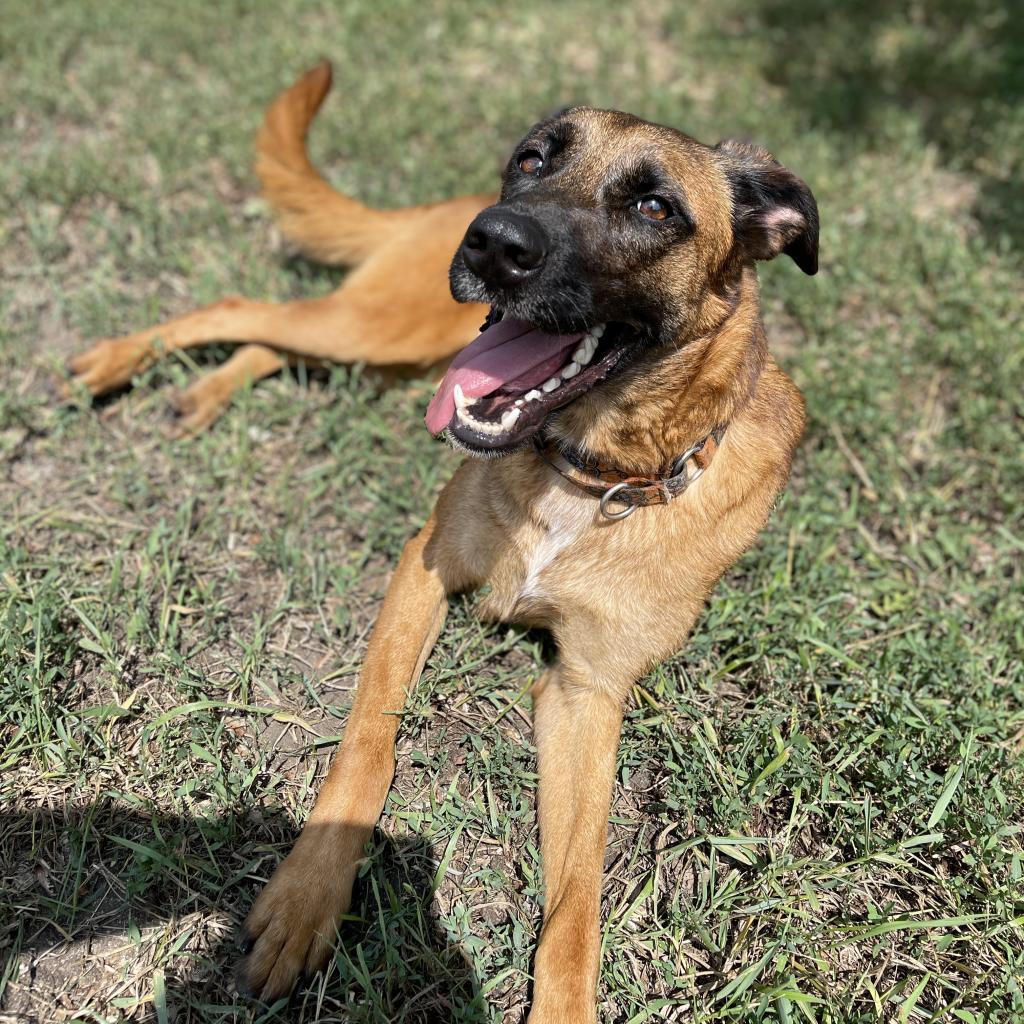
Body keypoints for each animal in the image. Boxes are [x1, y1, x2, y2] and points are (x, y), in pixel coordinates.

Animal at [72, 59, 815, 1019]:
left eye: (656, 208)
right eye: (533, 158)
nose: (495, 243)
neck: (591, 470)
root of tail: (446, 202)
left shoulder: (587, 693)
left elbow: (578, 897)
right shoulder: (421, 570)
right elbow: (368, 741)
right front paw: (309, 897)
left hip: (389, 357)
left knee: (277, 343)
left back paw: (202, 392)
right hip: (381, 328)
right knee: (248, 306)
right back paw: (119, 362)